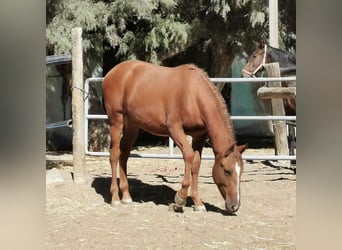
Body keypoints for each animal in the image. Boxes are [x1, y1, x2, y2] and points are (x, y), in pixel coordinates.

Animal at [101, 60, 246, 213]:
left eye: (241, 171)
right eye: (227, 171)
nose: (234, 206)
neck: (193, 94)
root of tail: (112, 72)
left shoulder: (199, 136)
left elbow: (196, 163)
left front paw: (197, 202)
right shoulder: (174, 129)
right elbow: (188, 156)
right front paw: (180, 199)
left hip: (132, 125)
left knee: (124, 154)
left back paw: (126, 196)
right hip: (116, 120)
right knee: (114, 154)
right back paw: (115, 198)